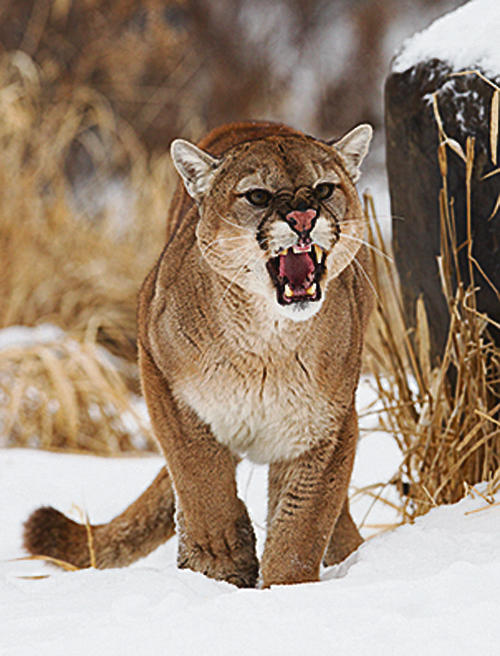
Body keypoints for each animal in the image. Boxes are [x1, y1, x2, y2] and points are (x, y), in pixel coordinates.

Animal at [24, 120, 374, 588]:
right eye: (258, 196)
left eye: (323, 189)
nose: (303, 217)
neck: (266, 344)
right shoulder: (161, 380)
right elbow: (200, 480)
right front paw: (220, 563)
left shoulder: (328, 426)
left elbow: (304, 521)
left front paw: (286, 588)